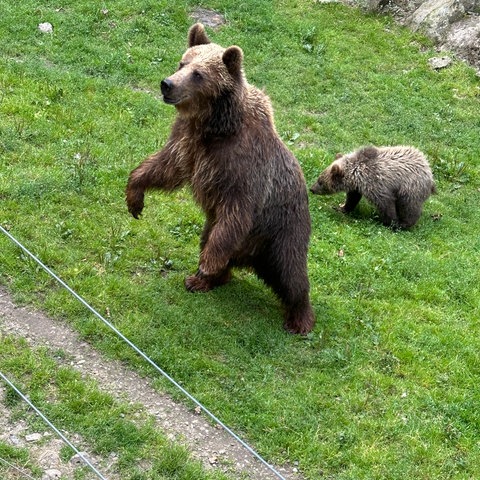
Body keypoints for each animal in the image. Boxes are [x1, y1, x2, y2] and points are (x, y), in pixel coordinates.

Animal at [124, 23, 316, 334]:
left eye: (198, 74)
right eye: (182, 62)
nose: (168, 84)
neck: (214, 125)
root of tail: (250, 258)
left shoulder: (242, 167)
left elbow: (237, 209)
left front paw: (207, 263)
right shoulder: (187, 142)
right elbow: (165, 166)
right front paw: (135, 198)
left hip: (283, 229)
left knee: (290, 273)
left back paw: (299, 319)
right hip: (218, 227)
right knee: (211, 240)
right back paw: (202, 280)